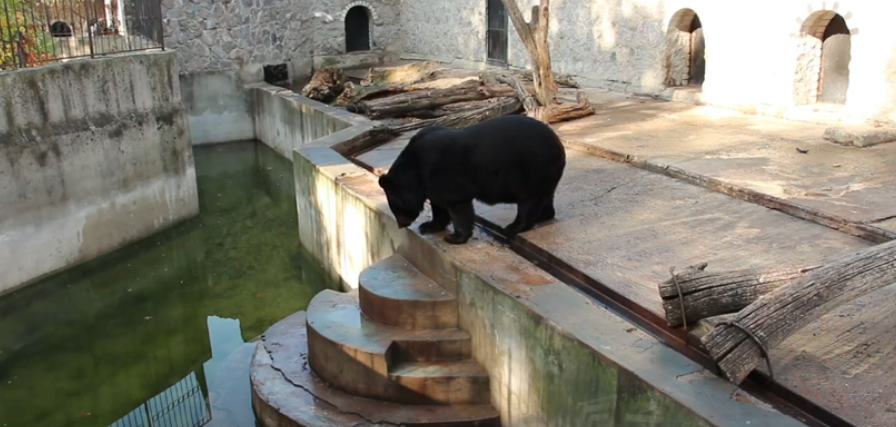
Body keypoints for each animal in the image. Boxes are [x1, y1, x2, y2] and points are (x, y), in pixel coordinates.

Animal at [378, 115, 568, 246]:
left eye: (395, 207)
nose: (401, 224)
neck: (416, 169)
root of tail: (559, 145)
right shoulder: (431, 183)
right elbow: (439, 205)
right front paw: (428, 225)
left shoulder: (445, 173)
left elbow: (457, 205)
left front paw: (454, 237)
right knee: (545, 196)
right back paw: (543, 215)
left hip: (532, 170)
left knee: (529, 201)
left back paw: (514, 227)